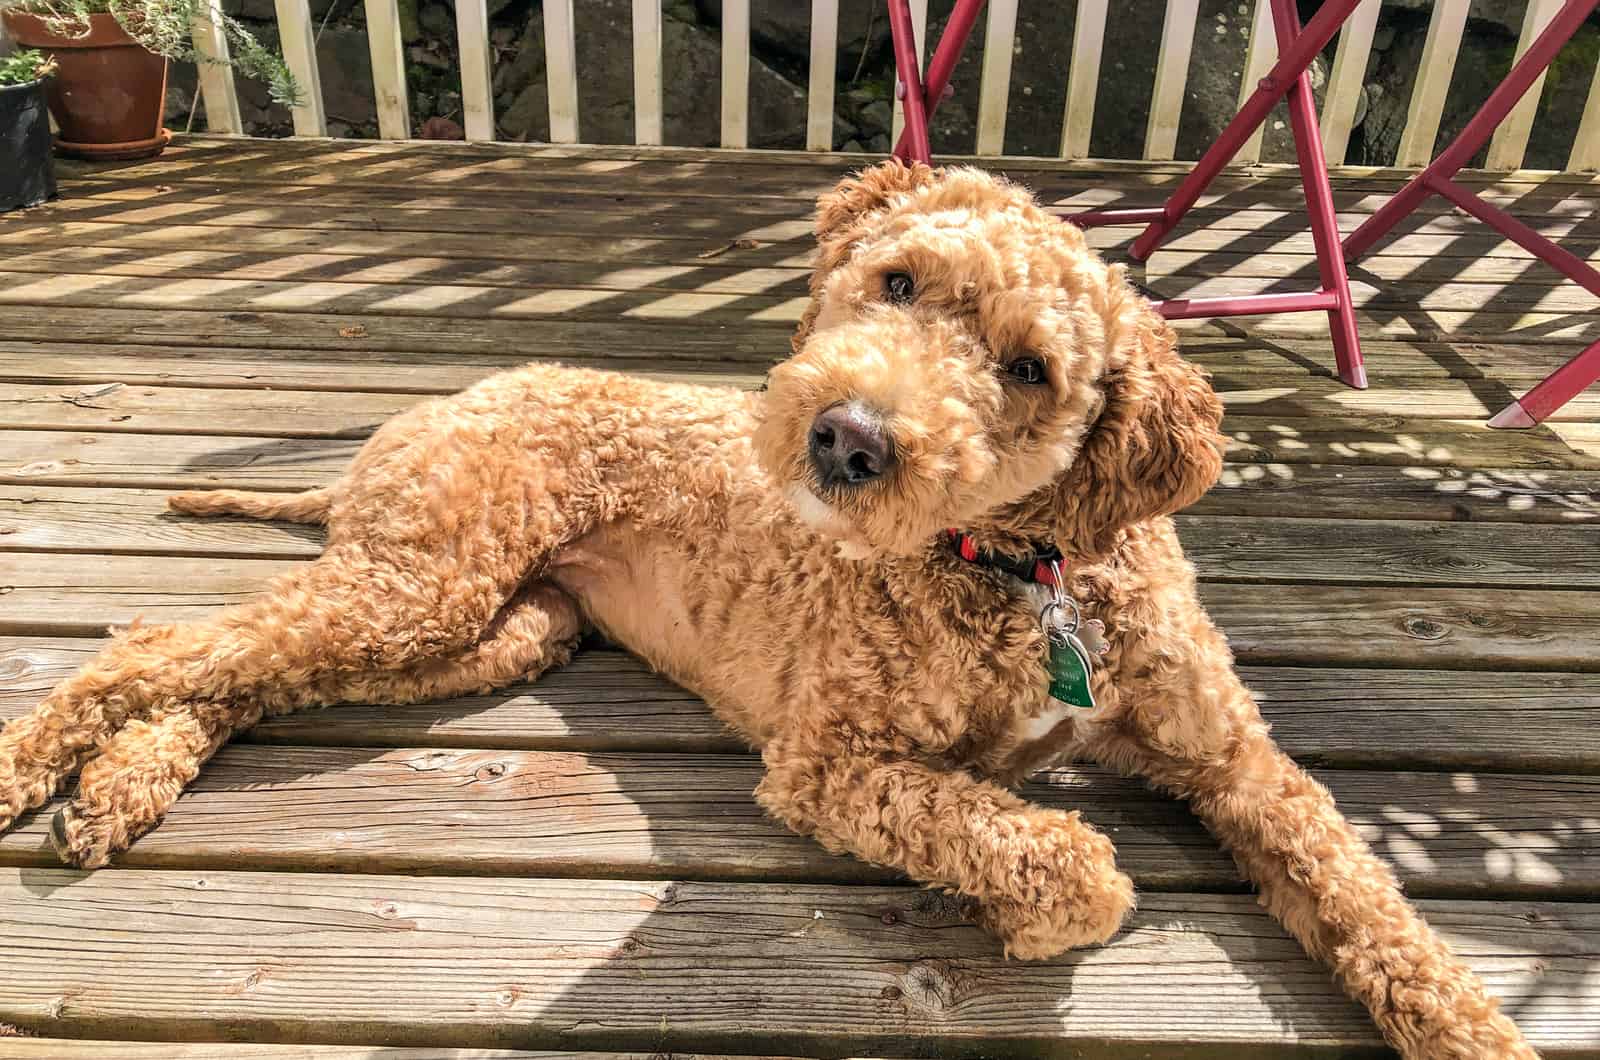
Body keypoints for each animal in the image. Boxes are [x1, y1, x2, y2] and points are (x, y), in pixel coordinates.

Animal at [0, 161, 1529, 1056]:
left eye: (1029, 369)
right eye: (896, 280)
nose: (846, 437)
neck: (1023, 573)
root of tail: (431, 409)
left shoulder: (1231, 758)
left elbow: (1365, 896)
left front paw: (1469, 1024)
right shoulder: (831, 765)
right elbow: (1067, 862)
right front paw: (1040, 913)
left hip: (484, 628)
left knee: (232, 673)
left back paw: (121, 786)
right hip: (425, 582)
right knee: (158, 645)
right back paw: (39, 767)